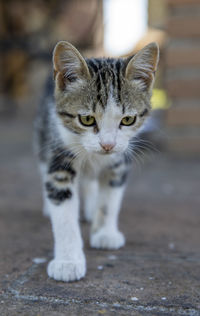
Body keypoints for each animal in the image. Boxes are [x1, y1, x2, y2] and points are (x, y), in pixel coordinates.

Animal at [34, 40, 159, 282]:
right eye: (86, 119)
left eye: (128, 120)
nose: (107, 145)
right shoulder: (60, 154)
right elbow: (64, 212)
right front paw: (68, 261)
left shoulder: (120, 161)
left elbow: (110, 199)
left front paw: (105, 233)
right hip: (44, 131)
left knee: (90, 181)